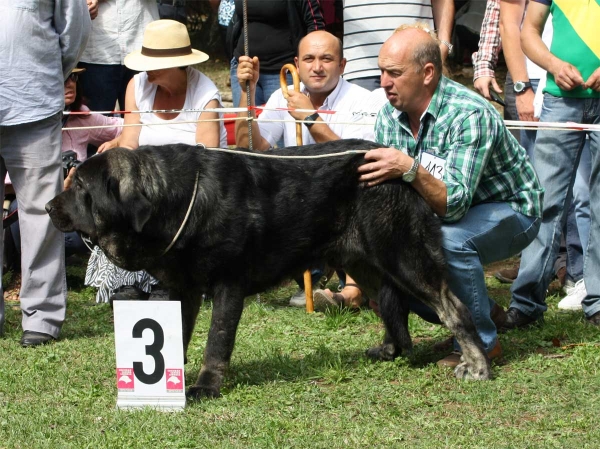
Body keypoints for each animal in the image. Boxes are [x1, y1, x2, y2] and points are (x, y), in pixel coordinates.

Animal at [45, 139, 488, 396]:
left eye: (79, 187)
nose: (49, 207)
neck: (173, 199)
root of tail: (400, 164)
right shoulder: (183, 292)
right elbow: (179, 335)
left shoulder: (227, 287)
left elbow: (216, 342)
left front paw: (205, 386)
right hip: (364, 264)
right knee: (389, 304)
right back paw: (391, 349)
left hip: (405, 258)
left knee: (454, 308)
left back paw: (477, 365)